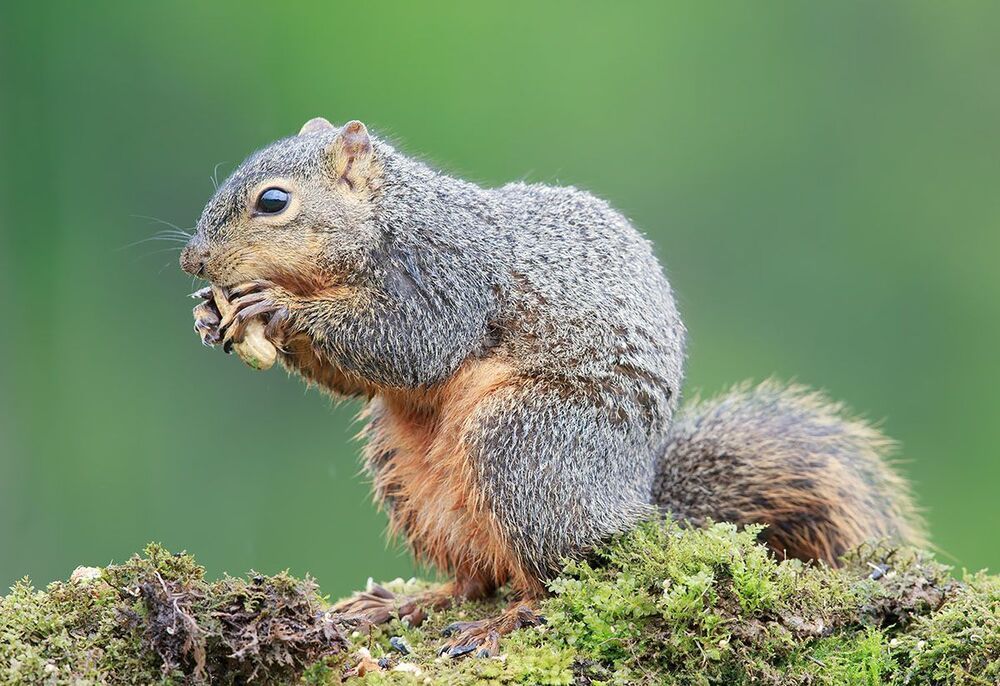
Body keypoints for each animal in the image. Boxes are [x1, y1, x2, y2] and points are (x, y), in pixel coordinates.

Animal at [180, 117, 925, 657]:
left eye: (273, 201)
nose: (192, 260)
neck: (387, 218)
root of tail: (631, 509)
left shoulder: (445, 275)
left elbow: (411, 346)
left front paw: (277, 307)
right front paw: (207, 315)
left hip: (521, 444)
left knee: (554, 579)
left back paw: (501, 623)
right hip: (408, 469)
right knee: (477, 574)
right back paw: (409, 603)